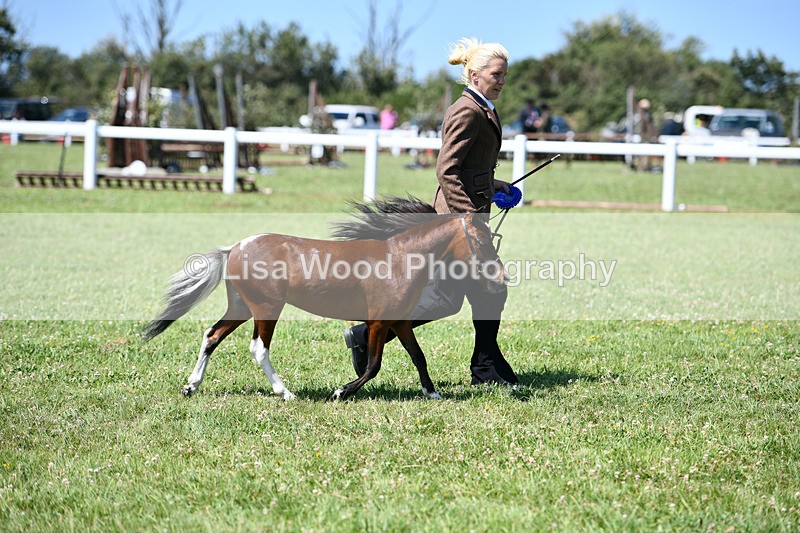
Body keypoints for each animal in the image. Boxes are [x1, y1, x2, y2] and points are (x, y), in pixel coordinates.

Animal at [143, 197, 505, 401]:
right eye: (482, 241)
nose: (502, 277)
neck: (400, 258)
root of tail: (236, 247)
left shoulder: (400, 321)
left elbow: (419, 357)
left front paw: (433, 393)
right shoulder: (378, 321)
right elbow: (374, 365)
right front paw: (341, 391)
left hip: (242, 306)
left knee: (212, 335)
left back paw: (191, 386)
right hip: (266, 308)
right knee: (259, 348)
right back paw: (285, 393)